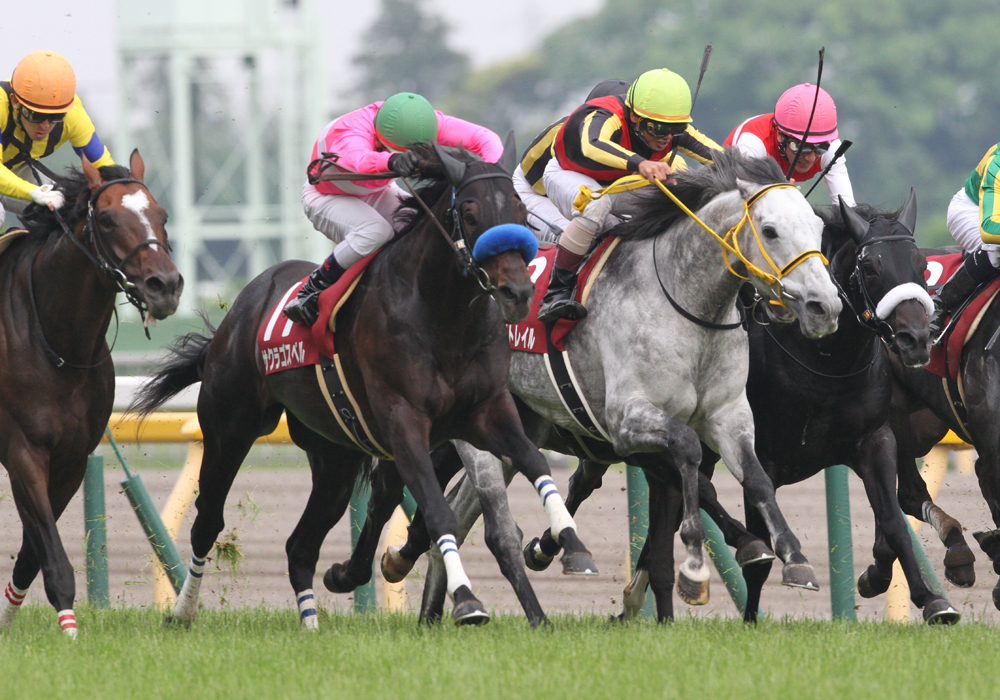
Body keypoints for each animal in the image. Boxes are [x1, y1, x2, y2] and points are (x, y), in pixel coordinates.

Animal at [0, 153, 182, 640]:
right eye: (107, 219)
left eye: (162, 215)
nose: (165, 286)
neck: (59, 342)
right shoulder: (22, 449)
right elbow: (50, 549)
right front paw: (70, 630)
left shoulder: (73, 457)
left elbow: (33, 549)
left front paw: (9, 614)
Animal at [128, 144, 588, 628]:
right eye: (469, 211)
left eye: (518, 209)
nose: (517, 291)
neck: (442, 314)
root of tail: (239, 310)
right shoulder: (404, 421)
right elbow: (438, 512)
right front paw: (467, 599)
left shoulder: (488, 411)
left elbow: (535, 462)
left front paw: (569, 543)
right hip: (228, 429)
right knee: (208, 522)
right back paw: (182, 612)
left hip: (335, 458)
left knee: (300, 546)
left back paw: (311, 622)